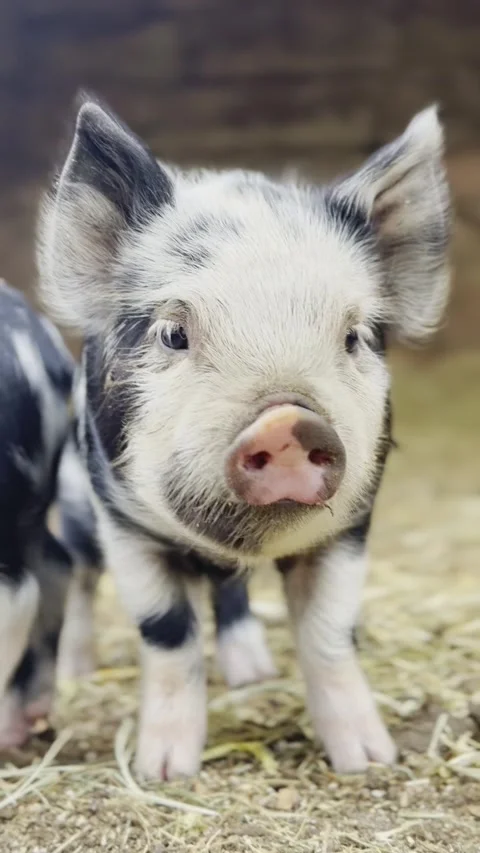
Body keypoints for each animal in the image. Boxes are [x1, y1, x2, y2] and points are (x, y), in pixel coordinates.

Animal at [38, 95, 450, 780]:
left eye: (354, 336)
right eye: (173, 333)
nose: (287, 423)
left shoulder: (350, 530)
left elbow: (328, 636)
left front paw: (370, 761)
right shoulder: (125, 526)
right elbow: (167, 636)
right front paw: (164, 770)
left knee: (230, 594)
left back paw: (252, 674)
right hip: (74, 509)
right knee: (80, 578)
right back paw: (76, 672)